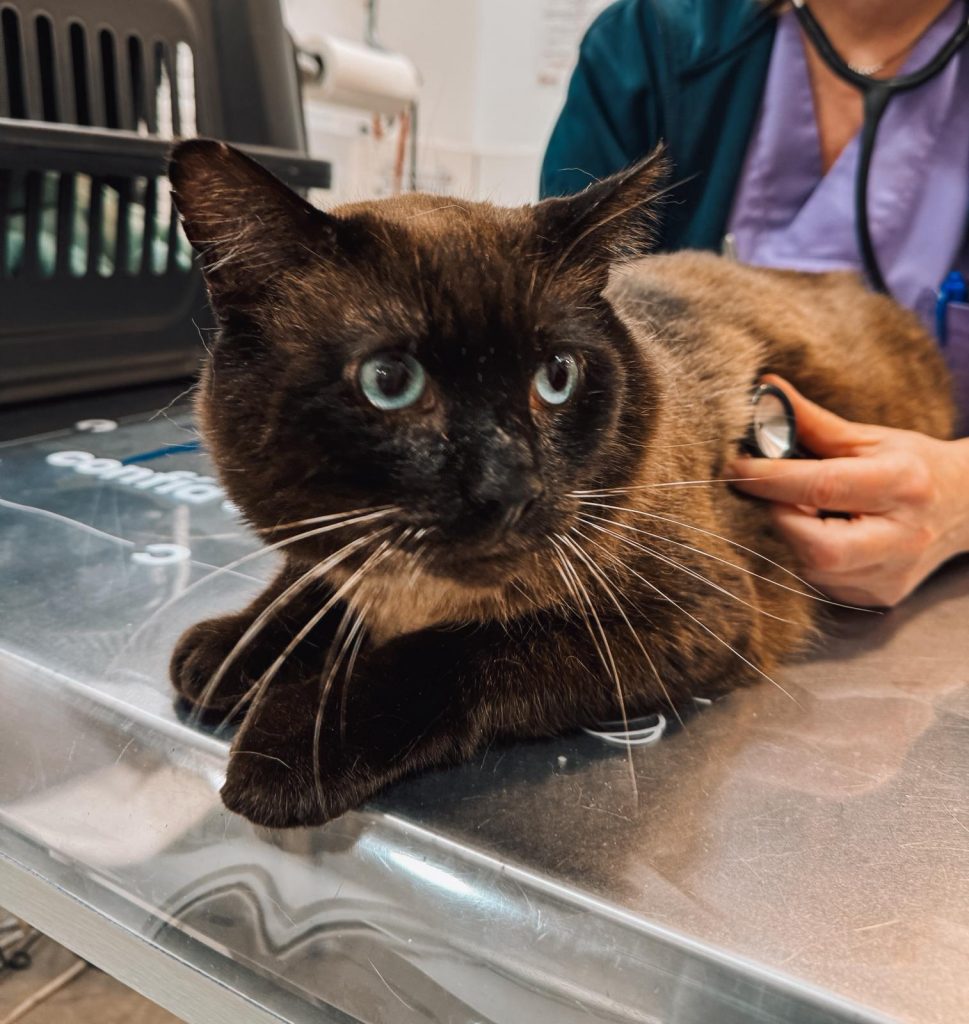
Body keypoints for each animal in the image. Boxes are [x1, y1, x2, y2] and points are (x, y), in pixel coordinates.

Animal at [168, 139, 954, 829]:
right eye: (389, 383)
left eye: (556, 377)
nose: (508, 486)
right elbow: (313, 588)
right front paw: (228, 651)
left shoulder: (699, 614)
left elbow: (456, 652)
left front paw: (287, 747)